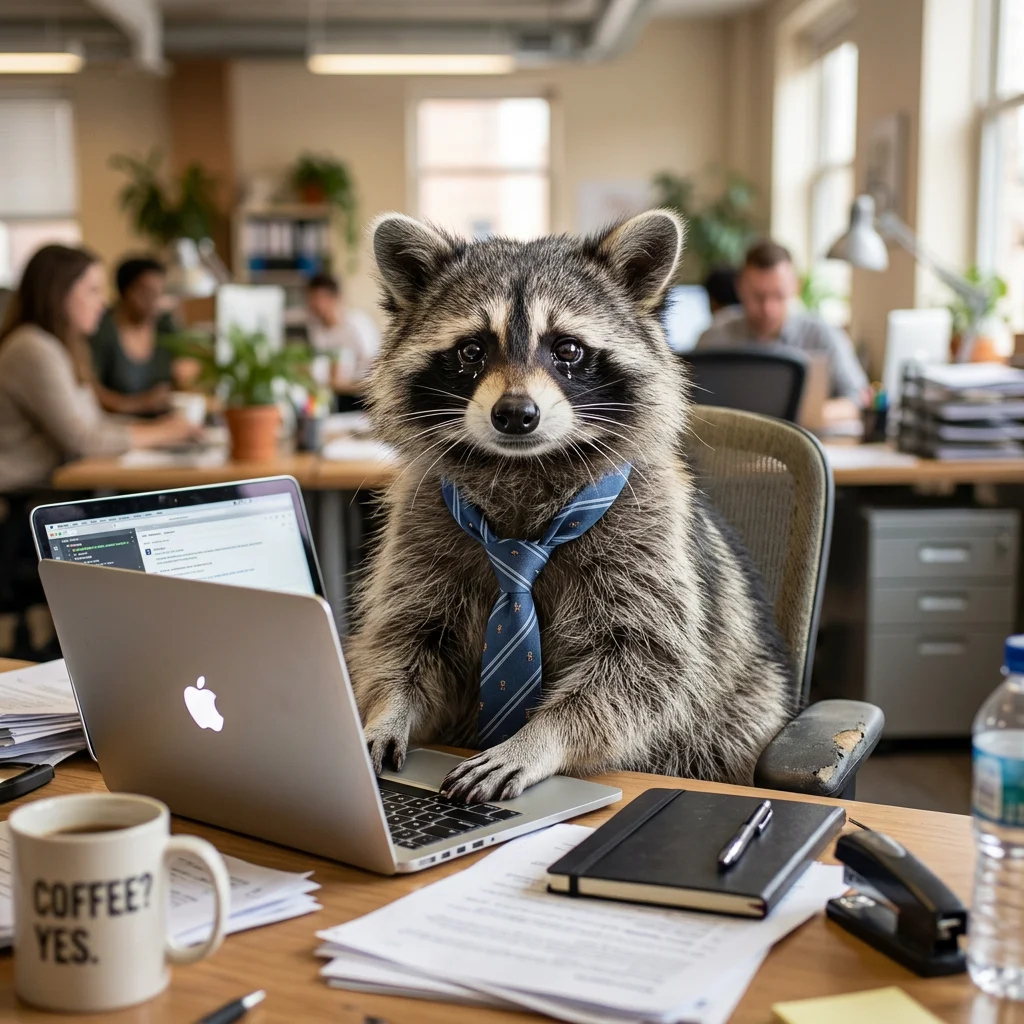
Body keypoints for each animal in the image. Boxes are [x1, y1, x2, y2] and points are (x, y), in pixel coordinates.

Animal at [345, 209, 793, 804]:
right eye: (471, 351)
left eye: (568, 350)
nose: (516, 414)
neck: (522, 470)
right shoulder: (423, 526)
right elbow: (408, 636)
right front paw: (387, 711)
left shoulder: (646, 532)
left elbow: (643, 663)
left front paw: (538, 739)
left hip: (741, 711)